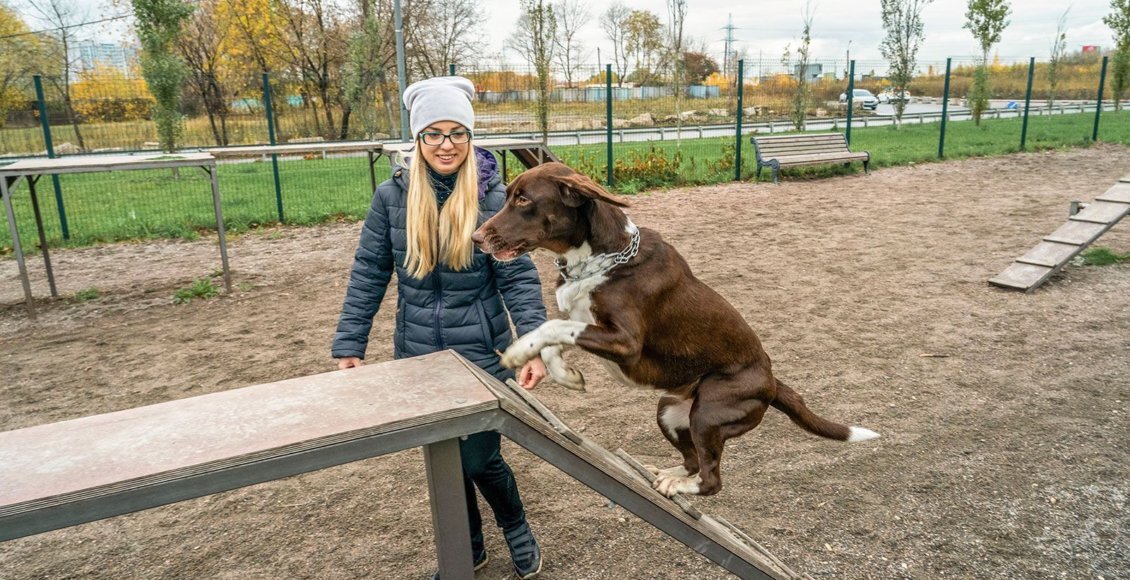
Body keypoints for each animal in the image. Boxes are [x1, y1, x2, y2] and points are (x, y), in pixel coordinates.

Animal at [472, 160, 876, 495]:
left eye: (523, 199)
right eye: (509, 195)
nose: (476, 238)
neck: (604, 258)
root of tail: (773, 381)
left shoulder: (626, 342)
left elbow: (553, 326)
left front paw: (517, 351)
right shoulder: (588, 324)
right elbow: (558, 334)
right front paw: (568, 375)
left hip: (708, 413)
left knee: (712, 479)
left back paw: (679, 486)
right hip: (669, 410)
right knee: (694, 460)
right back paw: (666, 475)